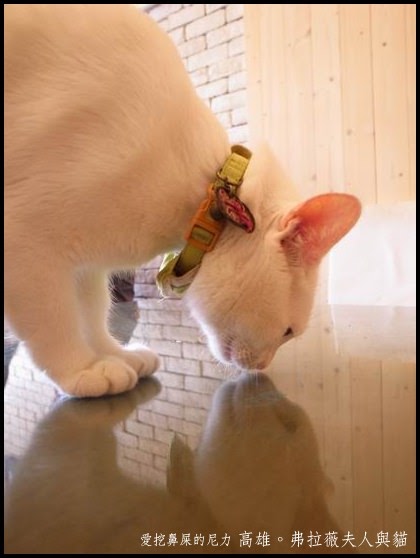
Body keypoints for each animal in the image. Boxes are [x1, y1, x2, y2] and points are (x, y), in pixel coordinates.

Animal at [4, 4, 361, 398]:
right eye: (287, 332)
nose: (262, 366)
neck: (205, 196)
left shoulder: (85, 267)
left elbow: (94, 313)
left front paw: (113, 354)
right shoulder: (27, 245)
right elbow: (55, 320)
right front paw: (80, 369)